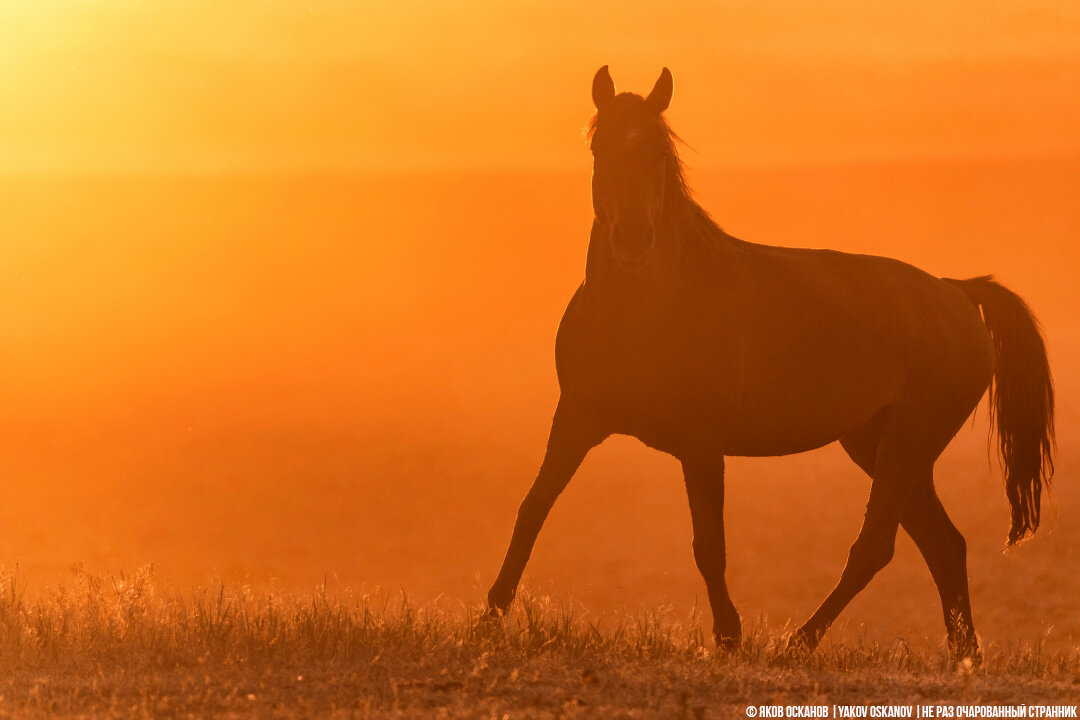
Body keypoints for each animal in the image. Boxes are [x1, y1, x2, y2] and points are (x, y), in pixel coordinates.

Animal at [488, 64, 1054, 660]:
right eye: (600, 147)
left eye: (659, 153)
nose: (634, 239)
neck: (647, 309)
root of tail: (957, 290)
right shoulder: (576, 419)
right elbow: (531, 510)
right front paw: (489, 618)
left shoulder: (701, 444)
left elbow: (709, 544)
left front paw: (729, 637)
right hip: (879, 445)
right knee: (943, 543)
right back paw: (963, 655)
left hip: (907, 443)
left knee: (877, 545)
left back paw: (799, 643)